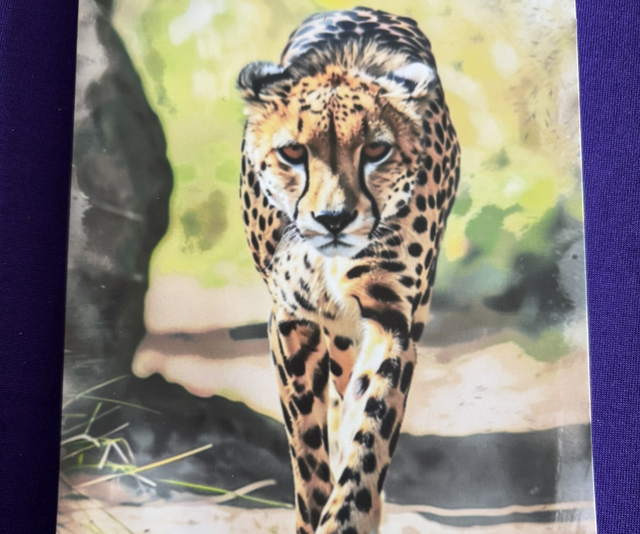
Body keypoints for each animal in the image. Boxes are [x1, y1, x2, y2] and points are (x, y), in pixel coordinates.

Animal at [236, 7, 459, 533]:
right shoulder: (290, 317)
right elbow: (306, 448)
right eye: (293, 152)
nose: (334, 219)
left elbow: (370, 431)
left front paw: (348, 515)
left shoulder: (392, 320)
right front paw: (315, 510)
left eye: (376, 150)